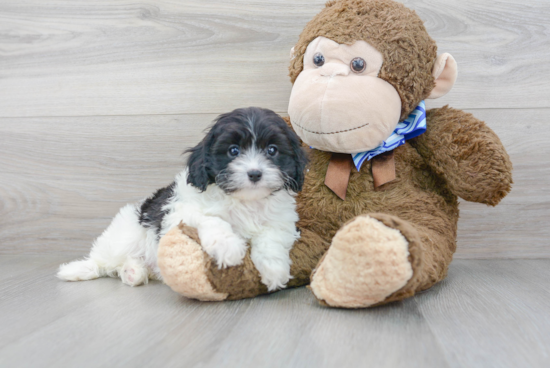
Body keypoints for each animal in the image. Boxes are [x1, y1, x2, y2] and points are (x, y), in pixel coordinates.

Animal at [57, 106, 308, 290]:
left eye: (272, 150)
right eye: (233, 151)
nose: (255, 173)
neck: (245, 201)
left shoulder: (282, 221)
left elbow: (272, 238)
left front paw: (274, 269)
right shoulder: (181, 211)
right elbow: (212, 219)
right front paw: (228, 246)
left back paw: (133, 272)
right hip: (124, 237)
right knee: (104, 261)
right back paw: (78, 270)